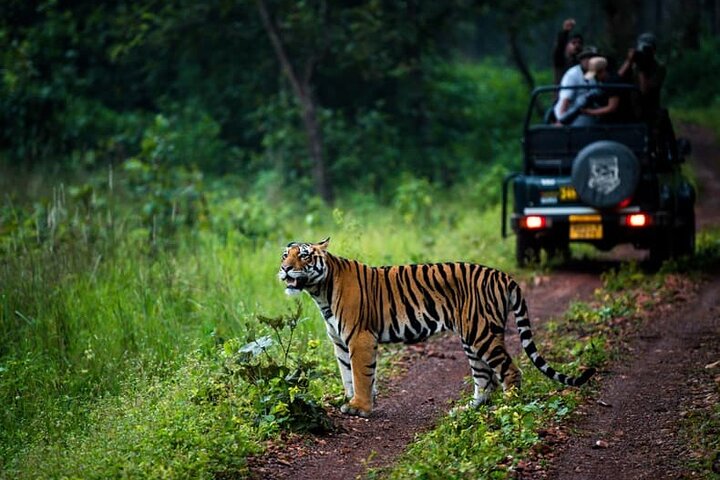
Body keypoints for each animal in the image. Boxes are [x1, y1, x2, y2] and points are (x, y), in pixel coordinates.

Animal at [278, 238, 595, 417]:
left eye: (304, 255)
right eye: (285, 255)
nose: (284, 268)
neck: (320, 292)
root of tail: (503, 275)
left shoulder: (360, 338)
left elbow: (361, 374)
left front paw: (361, 408)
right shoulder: (340, 343)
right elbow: (347, 375)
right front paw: (349, 400)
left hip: (482, 334)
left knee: (509, 371)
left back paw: (509, 406)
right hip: (472, 337)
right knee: (485, 380)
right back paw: (467, 410)